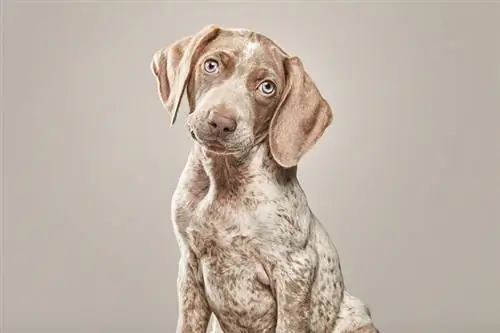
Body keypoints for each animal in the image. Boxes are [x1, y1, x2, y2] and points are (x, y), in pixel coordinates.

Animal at [150, 25, 380, 332]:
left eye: (267, 87)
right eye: (211, 65)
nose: (221, 122)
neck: (225, 180)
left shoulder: (294, 272)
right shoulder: (189, 266)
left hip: (358, 315)